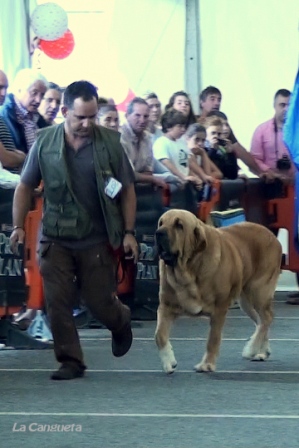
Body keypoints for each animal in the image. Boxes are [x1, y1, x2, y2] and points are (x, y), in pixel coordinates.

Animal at [155, 210, 284, 374]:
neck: (189, 270)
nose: (159, 233)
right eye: (161, 223)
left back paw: (252, 349)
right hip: (246, 301)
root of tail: (273, 237)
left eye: (179, 225)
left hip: (258, 292)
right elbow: (159, 335)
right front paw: (168, 362)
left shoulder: (219, 309)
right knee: (260, 321)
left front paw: (206, 364)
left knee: (267, 318)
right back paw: (261, 351)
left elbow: (213, 339)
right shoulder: (165, 307)